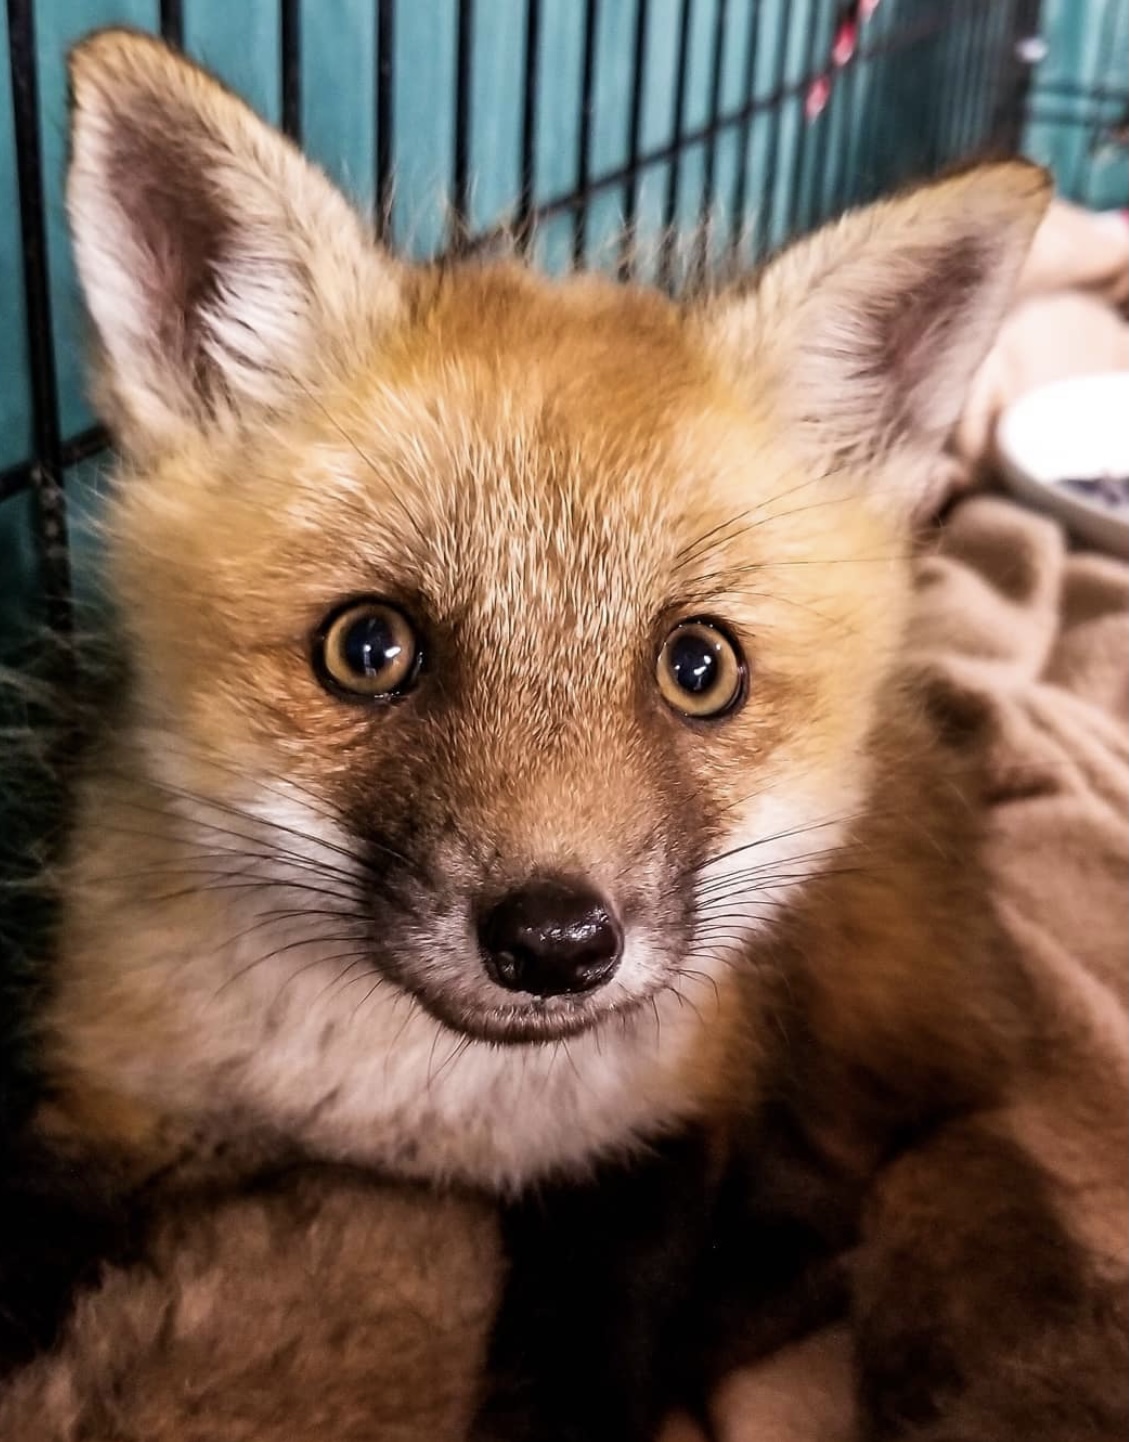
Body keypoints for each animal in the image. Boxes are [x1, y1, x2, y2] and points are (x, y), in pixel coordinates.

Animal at [4, 28, 1124, 1442]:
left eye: (699, 668)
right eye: (368, 647)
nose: (554, 943)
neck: (420, 1120)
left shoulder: (654, 1147)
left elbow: (595, 1364)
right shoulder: (97, 1111)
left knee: (849, 1197)